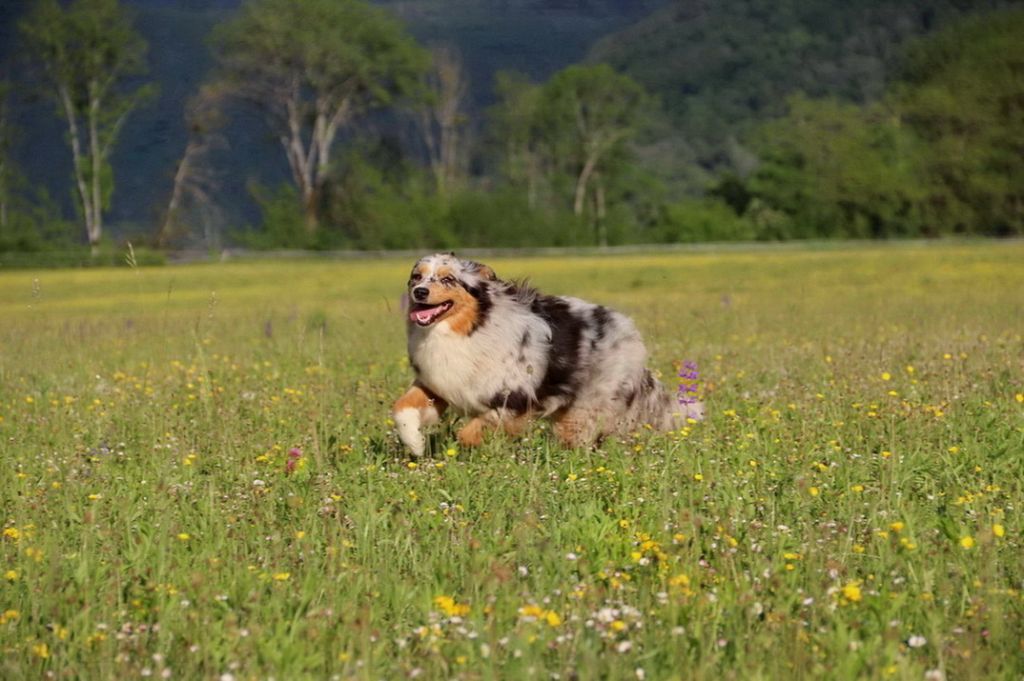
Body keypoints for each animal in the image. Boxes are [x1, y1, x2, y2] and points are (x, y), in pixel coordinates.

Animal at [391, 251, 704, 454]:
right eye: (416, 277)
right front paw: (416, 445)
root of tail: (629, 331)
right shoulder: (437, 384)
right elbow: (401, 408)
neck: (466, 330)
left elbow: (467, 433)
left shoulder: (515, 400)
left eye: (448, 280)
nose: (419, 292)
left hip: (584, 410)